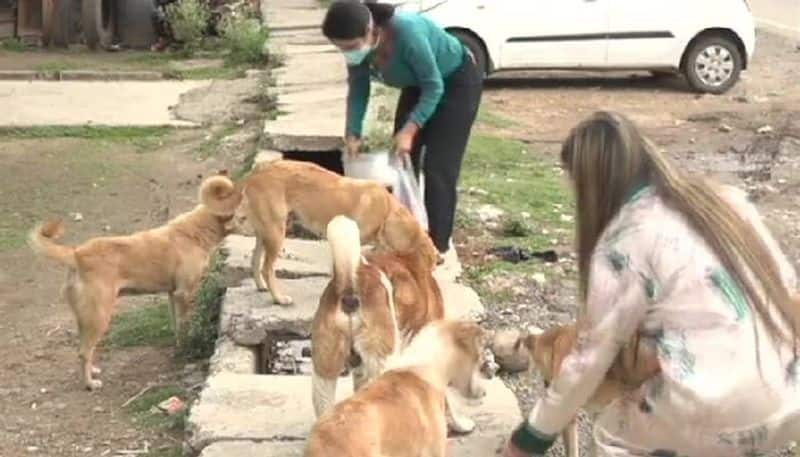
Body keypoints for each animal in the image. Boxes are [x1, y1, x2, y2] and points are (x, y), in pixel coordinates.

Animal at [28, 173, 241, 390]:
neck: (195, 231)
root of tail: (76, 254)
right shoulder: (185, 294)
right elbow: (185, 326)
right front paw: (188, 349)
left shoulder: (172, 295)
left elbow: (176, 327)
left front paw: (179, 348)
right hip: (100, 316)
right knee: (83, 352)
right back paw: (89, 383)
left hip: (85, 318)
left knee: (84, 348)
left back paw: (93, 371)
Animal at [200, 160, 438, 306]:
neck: (387, 212)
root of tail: (257, 171)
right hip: (277, 233)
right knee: (268, 269)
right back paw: (278, 298)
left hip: (265, 232)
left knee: (255, 261)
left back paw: (260, 287)